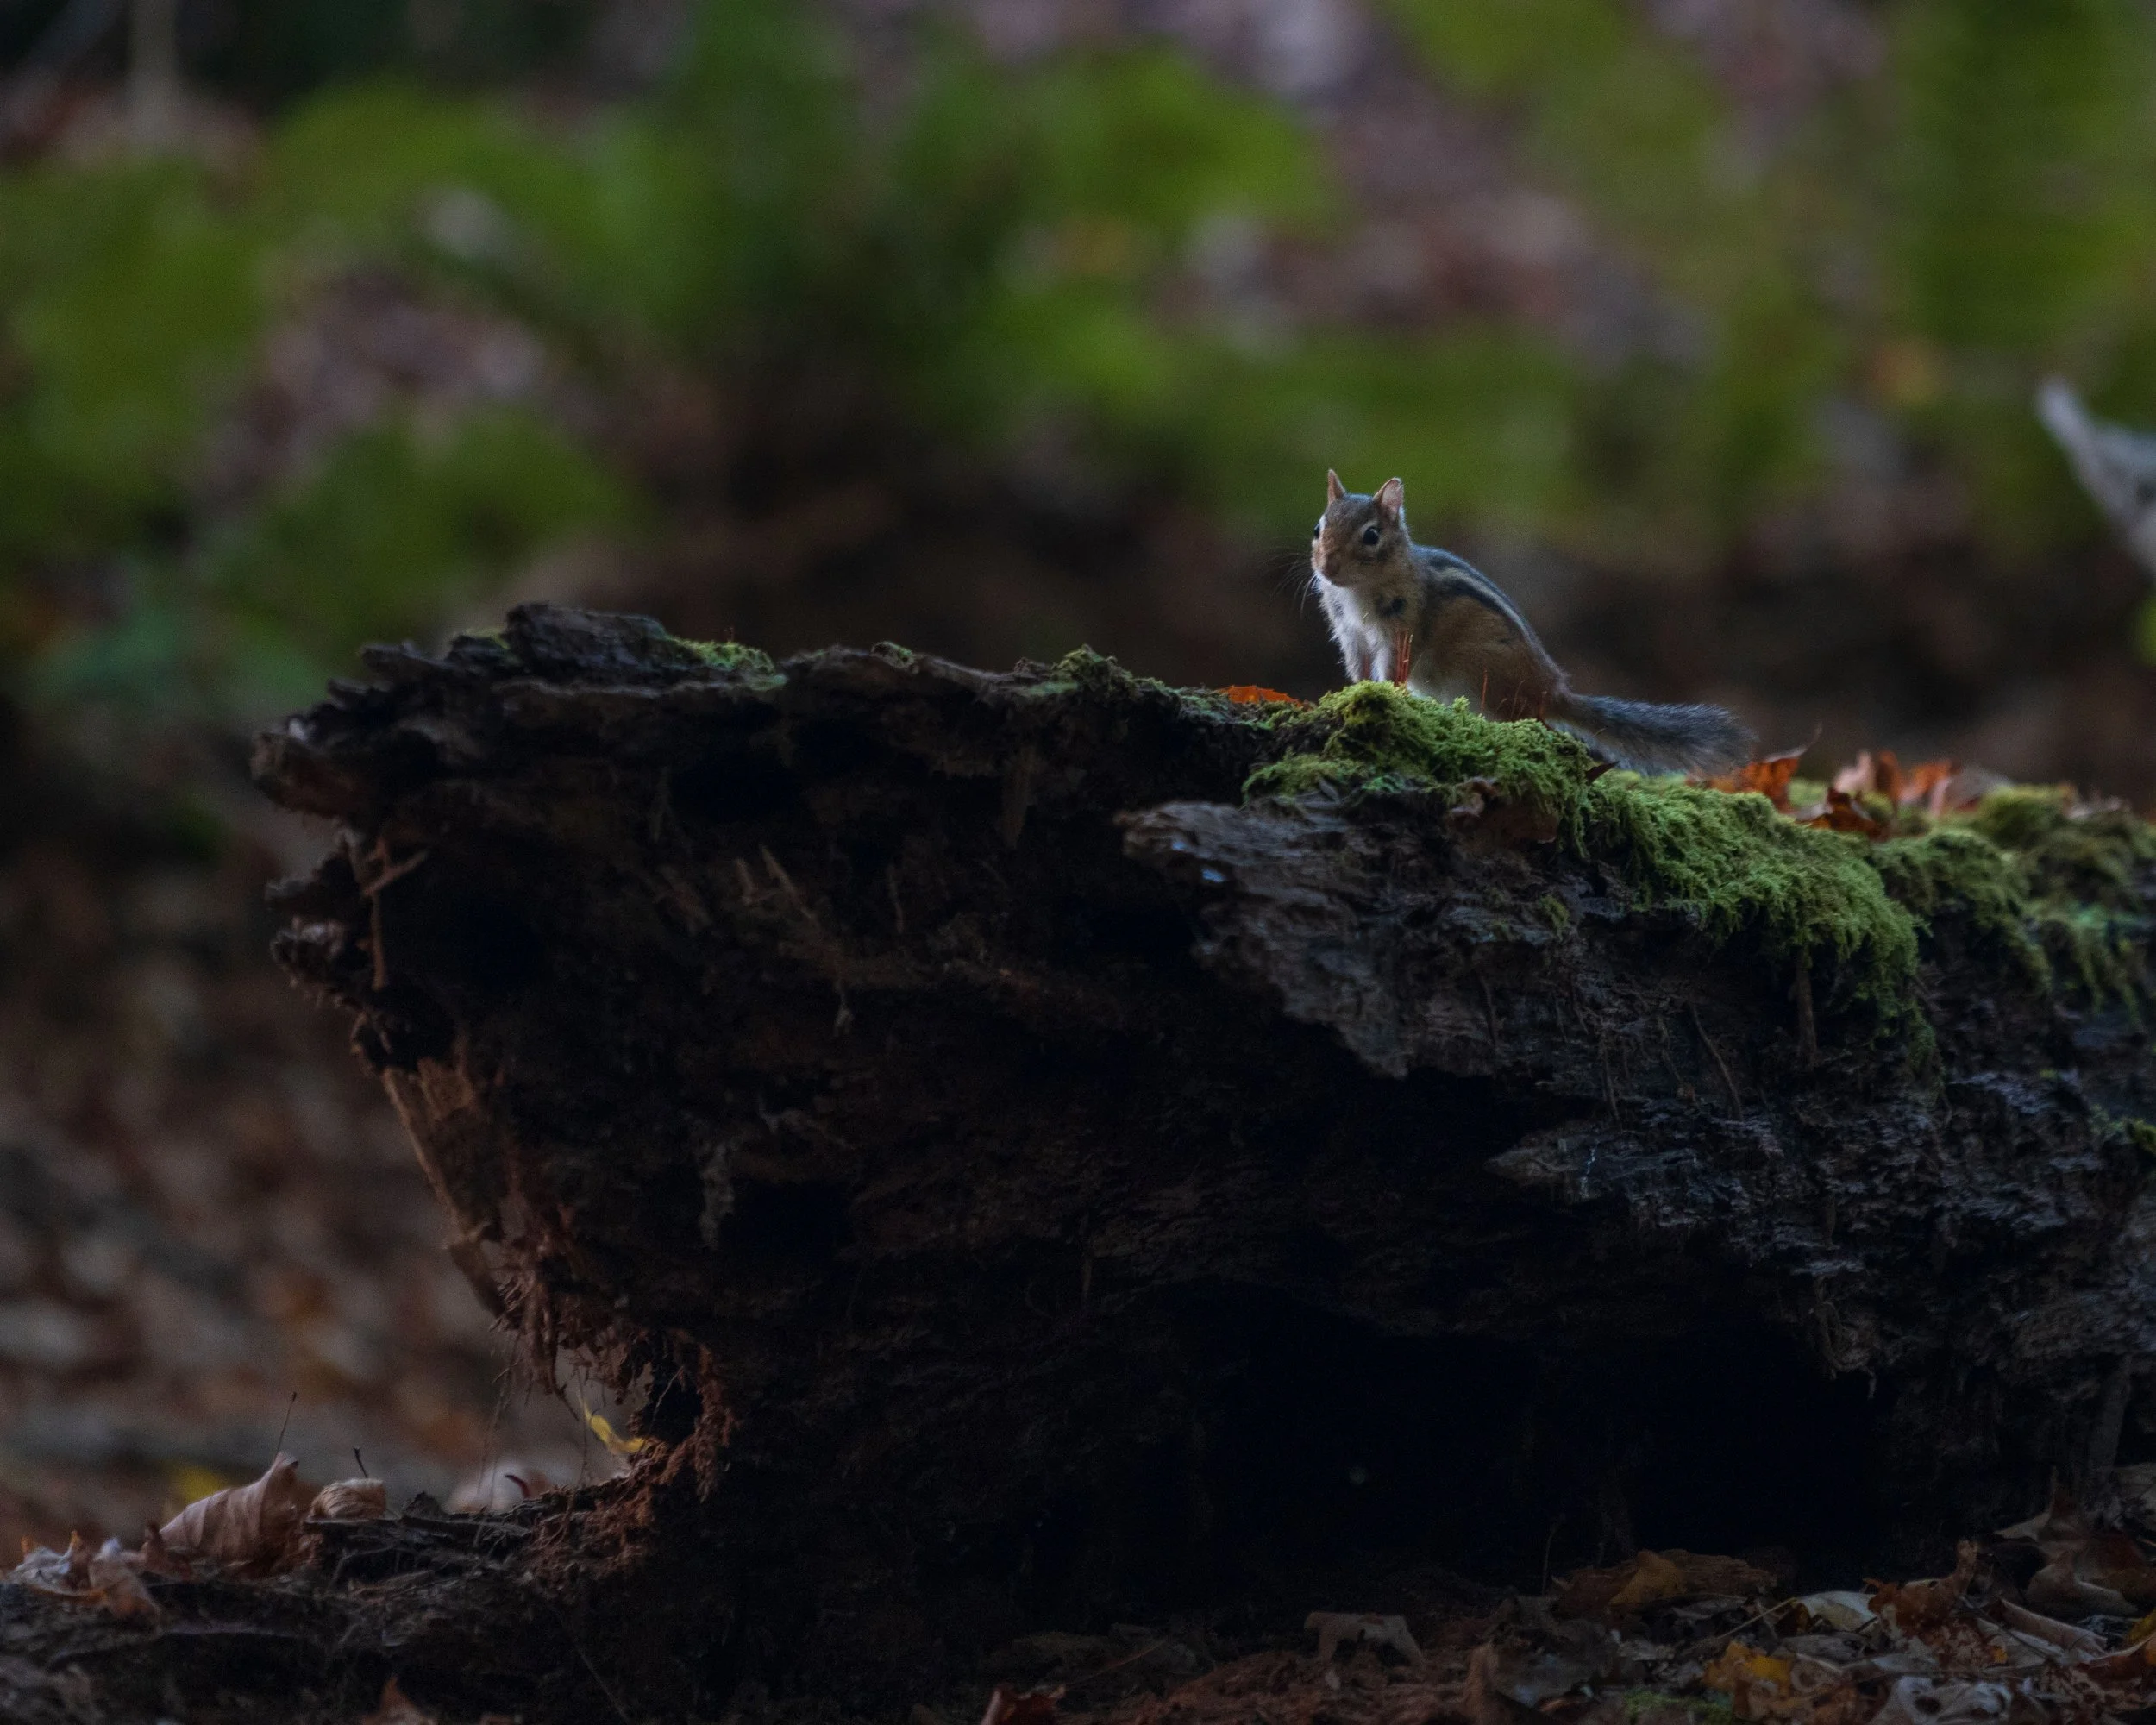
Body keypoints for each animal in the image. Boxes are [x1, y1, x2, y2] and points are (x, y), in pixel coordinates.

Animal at [1309, 470, 1753, 777]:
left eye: (1371, 536)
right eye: (1318, 528)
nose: (1328, 567)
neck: (1359, 591)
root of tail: (1551, 689)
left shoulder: (1403, 628)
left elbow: (1393, 665)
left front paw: (1384, 693)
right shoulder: (1350, 633)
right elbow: (1359, 667)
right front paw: (1352, 694)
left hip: (1489, 678)